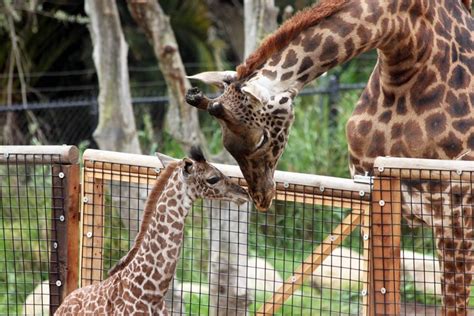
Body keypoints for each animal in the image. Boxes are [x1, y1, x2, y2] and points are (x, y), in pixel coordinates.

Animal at [187, 0, 472, 312]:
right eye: (226, 145)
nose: (262, 197)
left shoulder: (456, 214)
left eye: (260, 138)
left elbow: (453, 304)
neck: (406, 59)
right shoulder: (373, 200)